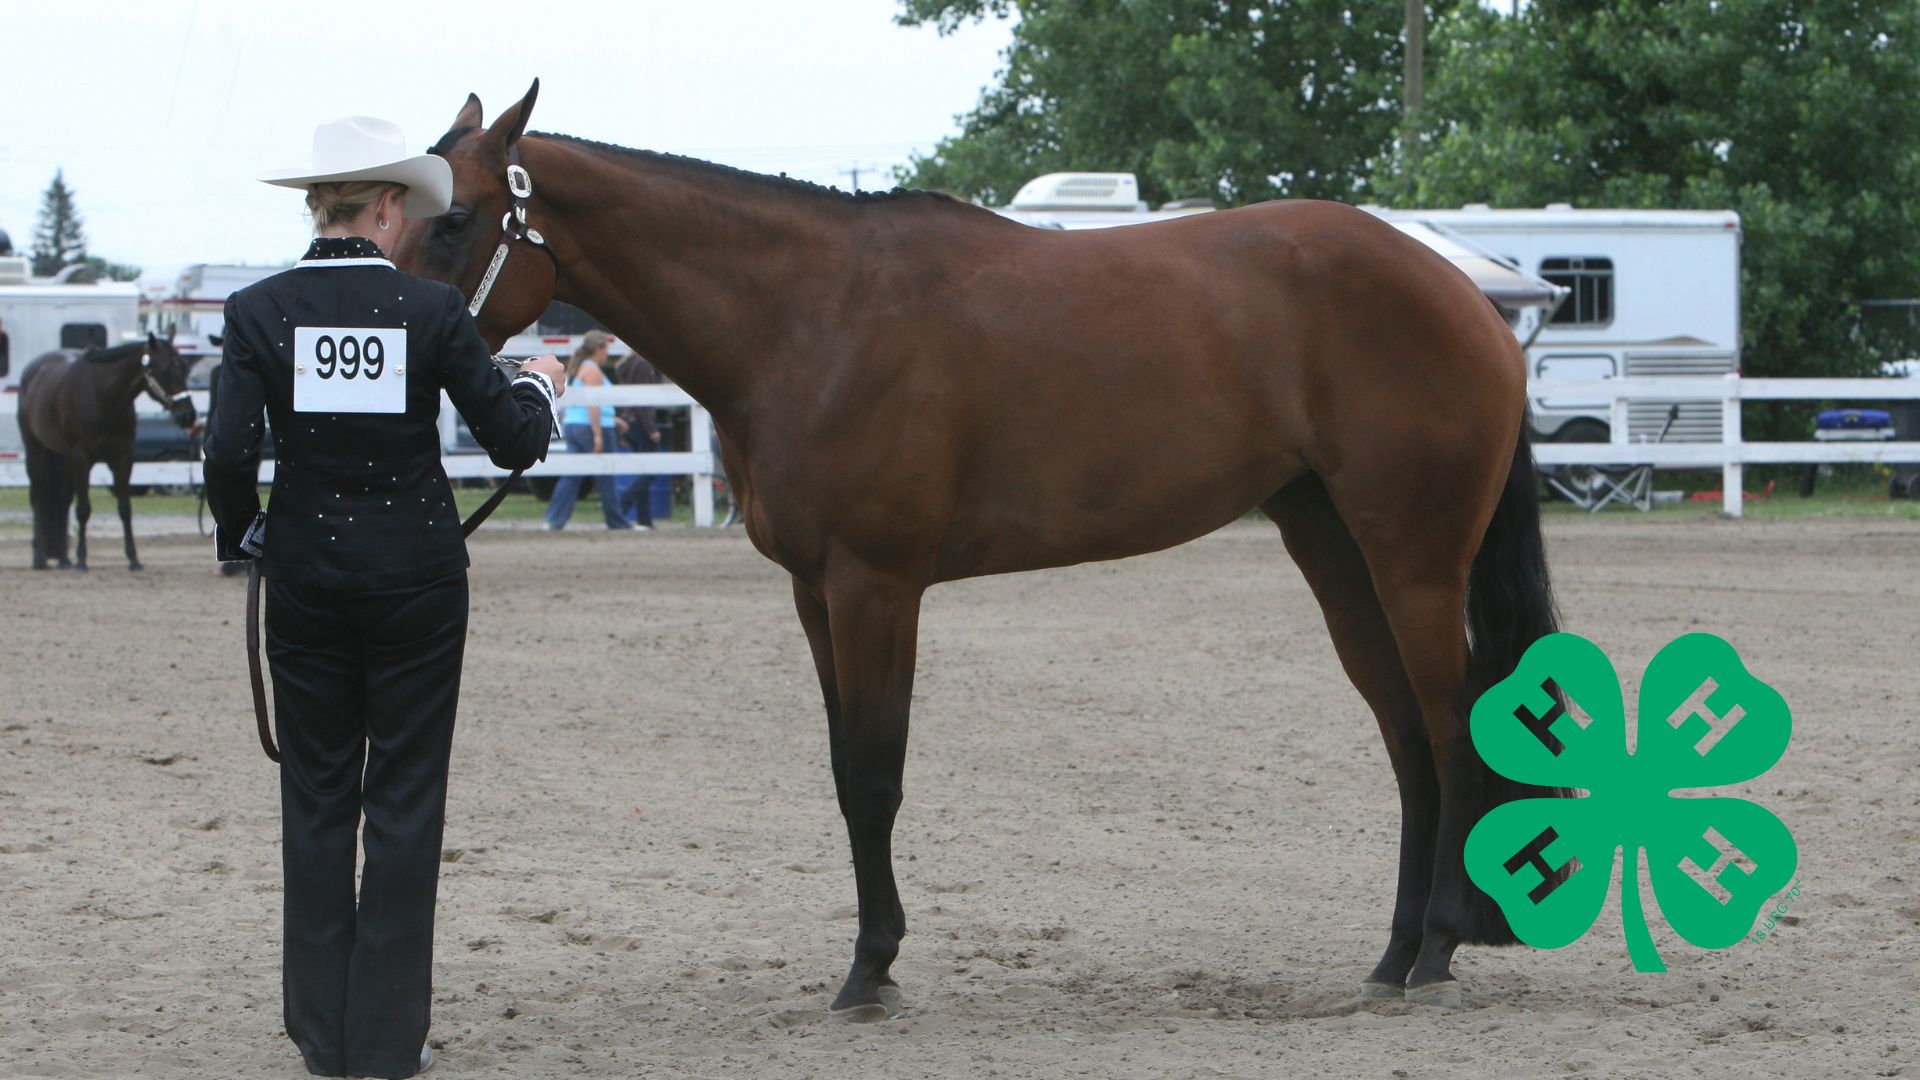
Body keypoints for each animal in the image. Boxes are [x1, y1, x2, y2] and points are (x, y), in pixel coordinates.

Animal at [19, 332, 197, 572]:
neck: (103, 396)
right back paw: (39, 559)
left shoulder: (123, 458)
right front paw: (82, 560)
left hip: (64, 457)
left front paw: (133, 559)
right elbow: (83, 509)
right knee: (37, 496)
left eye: (184, 368)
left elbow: (125, 508)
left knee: (64, 499)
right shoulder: (82, 458)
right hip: (35, 450)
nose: (188, 415)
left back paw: (64, 560)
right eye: (166, 369)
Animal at [389, 82, 1559, 1006]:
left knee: (1451, 731)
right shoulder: (815, 593)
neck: (811, 318)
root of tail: (1471, 301)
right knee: (1407, 744)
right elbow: (842, 770)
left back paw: (1439, 950)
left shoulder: (875, 586)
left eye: (457, 225)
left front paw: (870, 970)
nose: (387, 341)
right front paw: (875, 955)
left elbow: (875, 774)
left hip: (1414, 559)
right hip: (1336, 551)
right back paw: (1394, 957)